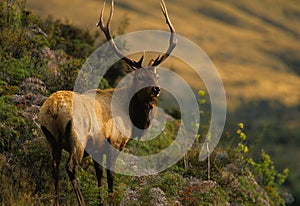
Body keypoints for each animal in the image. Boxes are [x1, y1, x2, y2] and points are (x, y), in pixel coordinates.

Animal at [38, 0, 177, 205]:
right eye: (139, 76)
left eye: (156, 76)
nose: (155, 89)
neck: (132, 120)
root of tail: (54, 109)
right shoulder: (114, 142)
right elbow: (110, 177)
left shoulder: (98, 148)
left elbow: (100, 176)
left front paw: (101, 200)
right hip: (78, 138)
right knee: (70, 168)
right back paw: (81, 201)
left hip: (51, 138)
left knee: (54, 168)